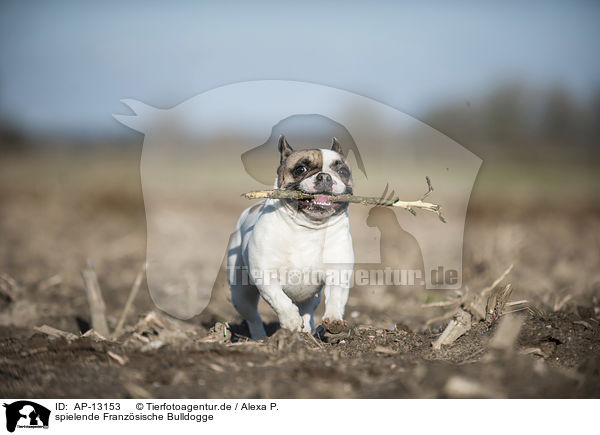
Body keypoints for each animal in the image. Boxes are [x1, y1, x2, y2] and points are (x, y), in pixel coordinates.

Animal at [227, 136, 354, 340]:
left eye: (343, 171)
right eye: (300, 169)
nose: (325, 177)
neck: (308, 228)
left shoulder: (338, 273)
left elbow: (336, 296)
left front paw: (334, 319)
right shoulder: (265, 274)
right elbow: (279, 299)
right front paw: (291, 320)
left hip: (311, 298)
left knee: (308, 309)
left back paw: (308, 332)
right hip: (240, 294)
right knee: (253, 317)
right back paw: (260, 338)